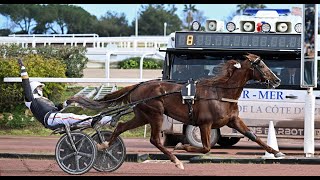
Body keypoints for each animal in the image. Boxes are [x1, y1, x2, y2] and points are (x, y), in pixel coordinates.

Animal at [69, 53, 284, 170]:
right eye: (260, 64)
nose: (277, 80)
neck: (221, 92)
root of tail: (138, 86)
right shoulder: (205, 124)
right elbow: (206, 148)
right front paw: (183, 146)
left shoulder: (233, 120)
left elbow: (254, 136)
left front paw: (276, 152)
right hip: (155, 113)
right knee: (155, 139)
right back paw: (176, 160)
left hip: (142, 115)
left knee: (121, 126)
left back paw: (104, 146)